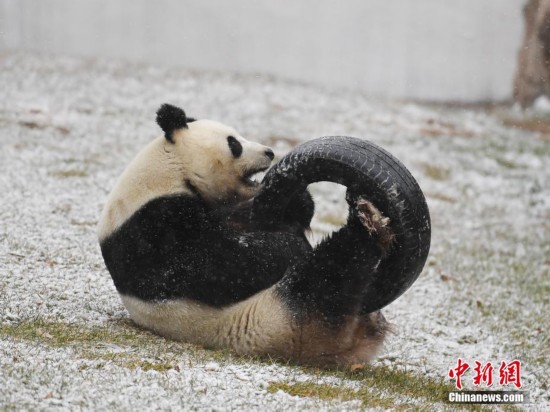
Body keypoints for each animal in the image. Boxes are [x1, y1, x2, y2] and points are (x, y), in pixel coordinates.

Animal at [98, 104, 396, 366]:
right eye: (234, 143)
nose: (269, 152)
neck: (171, 169)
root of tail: (353, 344)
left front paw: (296, 202)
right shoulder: (151, 229)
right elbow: (216, 265)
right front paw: (289, 246)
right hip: (286, 318)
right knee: (330, 273)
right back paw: (366, 223)